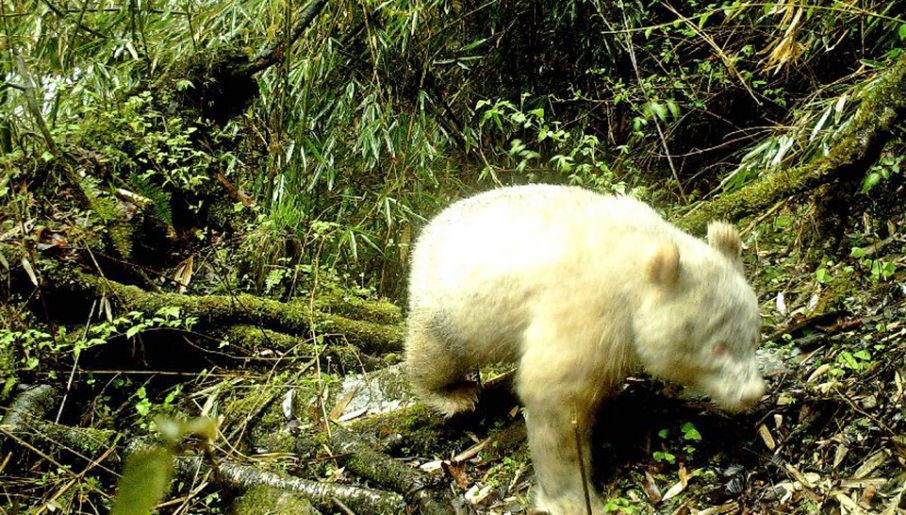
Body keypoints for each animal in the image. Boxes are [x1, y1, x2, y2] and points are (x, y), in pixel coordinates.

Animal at [402, 185, 764, 515]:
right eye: (718, 347)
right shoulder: (588, 308)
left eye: (753, 337)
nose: (752, 393)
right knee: (436, 354)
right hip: (452, 306)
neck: (636, 261)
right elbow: (554, 397)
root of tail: (428, 231)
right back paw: (452, 394)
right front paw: (570, 498)